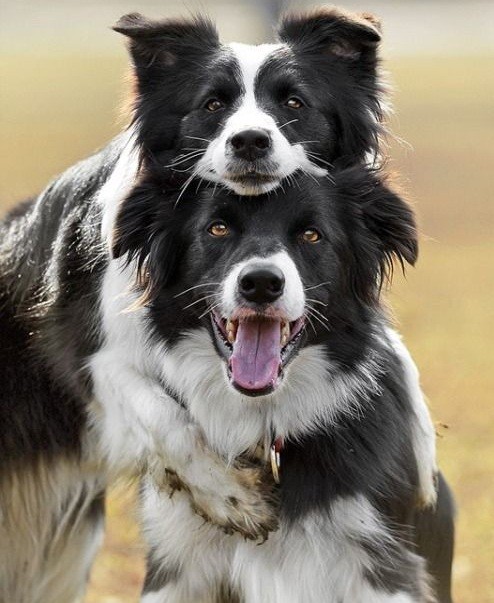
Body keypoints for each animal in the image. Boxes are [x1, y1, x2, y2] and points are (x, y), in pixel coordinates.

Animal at [0, 5, 452, 603]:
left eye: (294, 103)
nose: (250, 141)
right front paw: (233, 498)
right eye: (213, 104)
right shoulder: (88, 351)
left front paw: (417, 441)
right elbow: (160, 413)